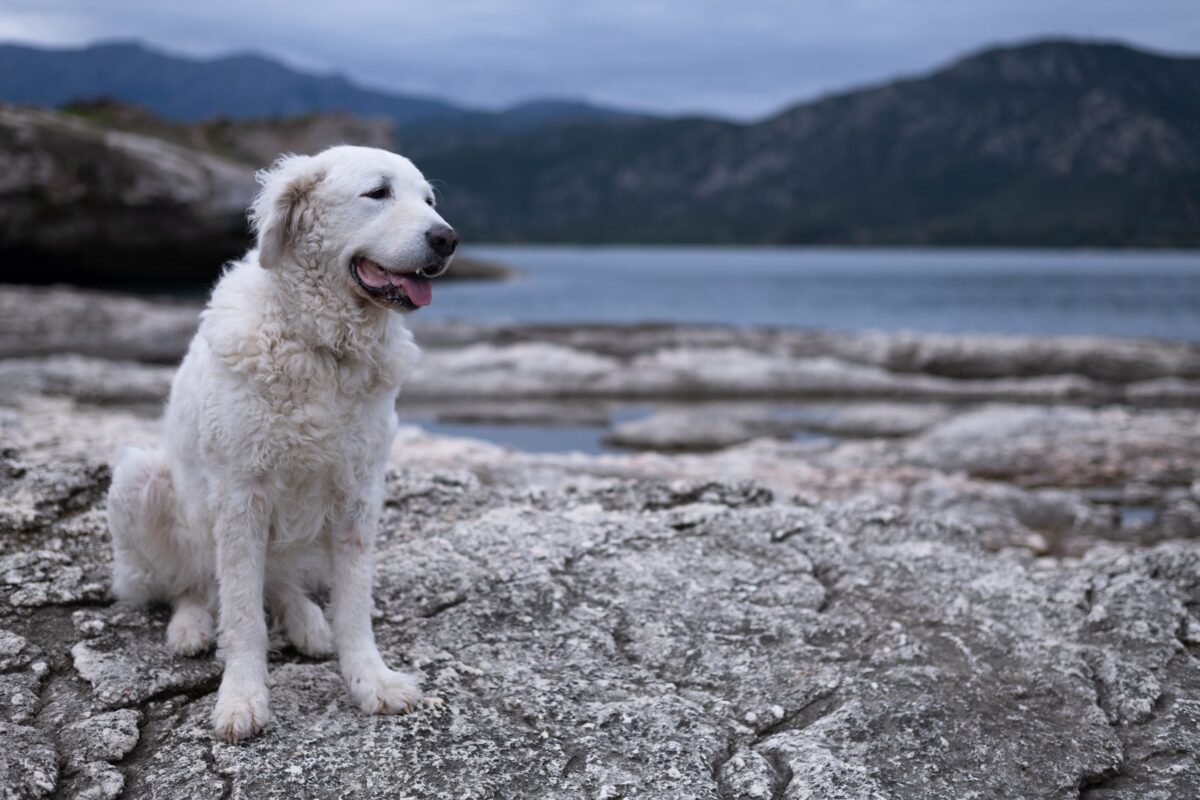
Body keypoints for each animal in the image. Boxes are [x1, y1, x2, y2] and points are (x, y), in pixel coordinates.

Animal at [105, 146, 453, 743]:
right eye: (378, 192)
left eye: (429, 200)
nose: (447, 239)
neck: (324, 348)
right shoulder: (241, 496)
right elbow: (244, 615)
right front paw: (242, 698)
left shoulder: (358, 495)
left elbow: (354, 607)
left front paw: (371, 681)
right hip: (140, 480)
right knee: (190, 584)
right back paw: (191, 625)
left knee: (282, 583)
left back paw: (308, 622)